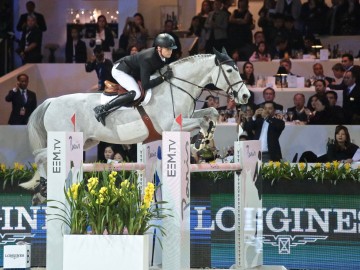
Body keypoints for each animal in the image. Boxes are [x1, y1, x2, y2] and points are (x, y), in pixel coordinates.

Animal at [25, 48, 250, 196]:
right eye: (230, 71)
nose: (246, 96)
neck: (176, 87)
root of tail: (51, 101)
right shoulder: (172, 126)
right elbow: (202, 122)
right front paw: (200, 141)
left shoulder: (188, 115)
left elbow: (211, 112)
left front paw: (206, 137)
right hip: (64, 138)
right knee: (39, 156)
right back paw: (43, 185)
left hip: (86, 142)